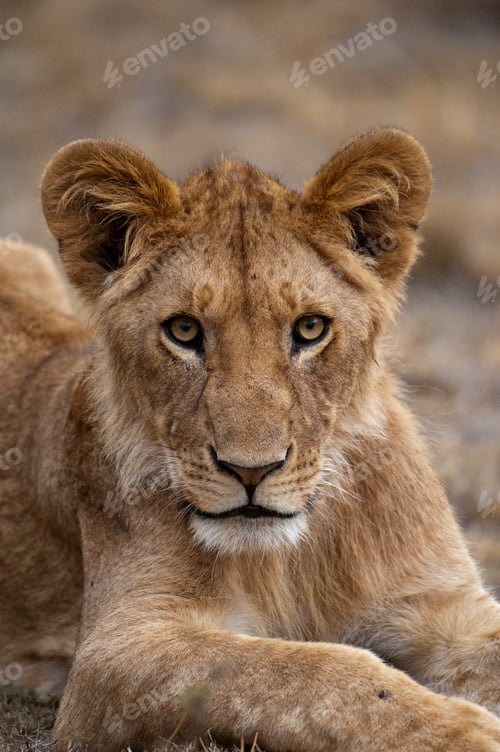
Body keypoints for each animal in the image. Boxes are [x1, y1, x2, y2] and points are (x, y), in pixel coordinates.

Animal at [0, 127, 499, 752]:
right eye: (183, 330)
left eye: (310, 328)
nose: (251, 471)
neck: (293, 555)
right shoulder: (114, 653)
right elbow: (308, 670)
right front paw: (464, 730)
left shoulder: (443, 603)